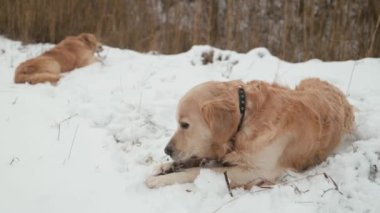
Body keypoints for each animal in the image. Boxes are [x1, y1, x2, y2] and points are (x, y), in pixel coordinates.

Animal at [146, 79, 356, 189]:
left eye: (185, 125)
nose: (167, 151)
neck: (245, 118)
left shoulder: (258, 172)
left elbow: (198, 170)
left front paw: (158, 180)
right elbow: (195, 162)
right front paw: (164, 167)